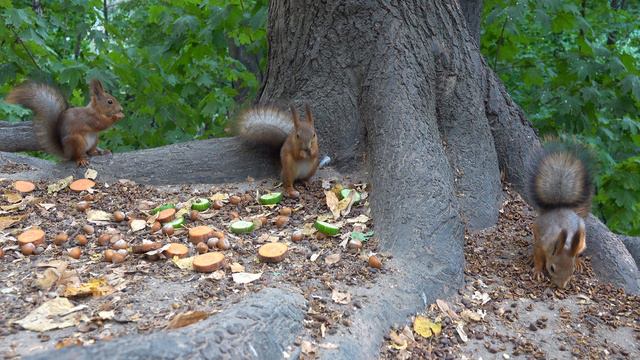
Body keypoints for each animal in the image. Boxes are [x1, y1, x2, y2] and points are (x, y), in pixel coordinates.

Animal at [528, 139, 592, 288]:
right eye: (552, 268)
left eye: (572, 270)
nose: (561, 286)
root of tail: (559, 206)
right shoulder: (541, 244)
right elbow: (538, 257)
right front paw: (538, 270)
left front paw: (576, 263)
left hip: (582, 240)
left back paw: (579, 260)